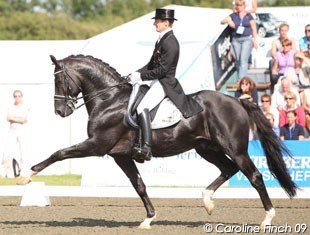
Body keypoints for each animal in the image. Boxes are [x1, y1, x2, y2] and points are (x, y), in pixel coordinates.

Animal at [18, 54, 296, 228]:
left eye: (58, 79)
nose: (60, 111)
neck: (109, 100)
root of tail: (237, 100)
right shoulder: (121, 156)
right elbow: (139, 185)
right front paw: (149, 219)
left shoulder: (97, 145)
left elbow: (59, 153)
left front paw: (26, 175)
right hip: (205, 148)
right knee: (228, 169)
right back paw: (207, 201)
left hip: (235, 148)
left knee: (254, 176)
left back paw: (267, 218)